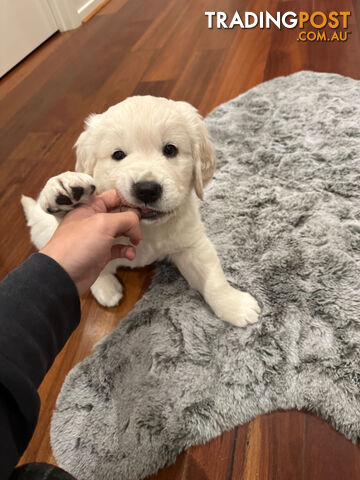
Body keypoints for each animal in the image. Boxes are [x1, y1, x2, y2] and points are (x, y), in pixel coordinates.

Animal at [21, 94, 260, 326]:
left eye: (170, 149)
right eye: (118, 155)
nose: (146, 190)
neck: (147, 228)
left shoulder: (191, 243)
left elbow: (212, 277)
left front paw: (234, 305)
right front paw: (64, 188)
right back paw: (106, 288)